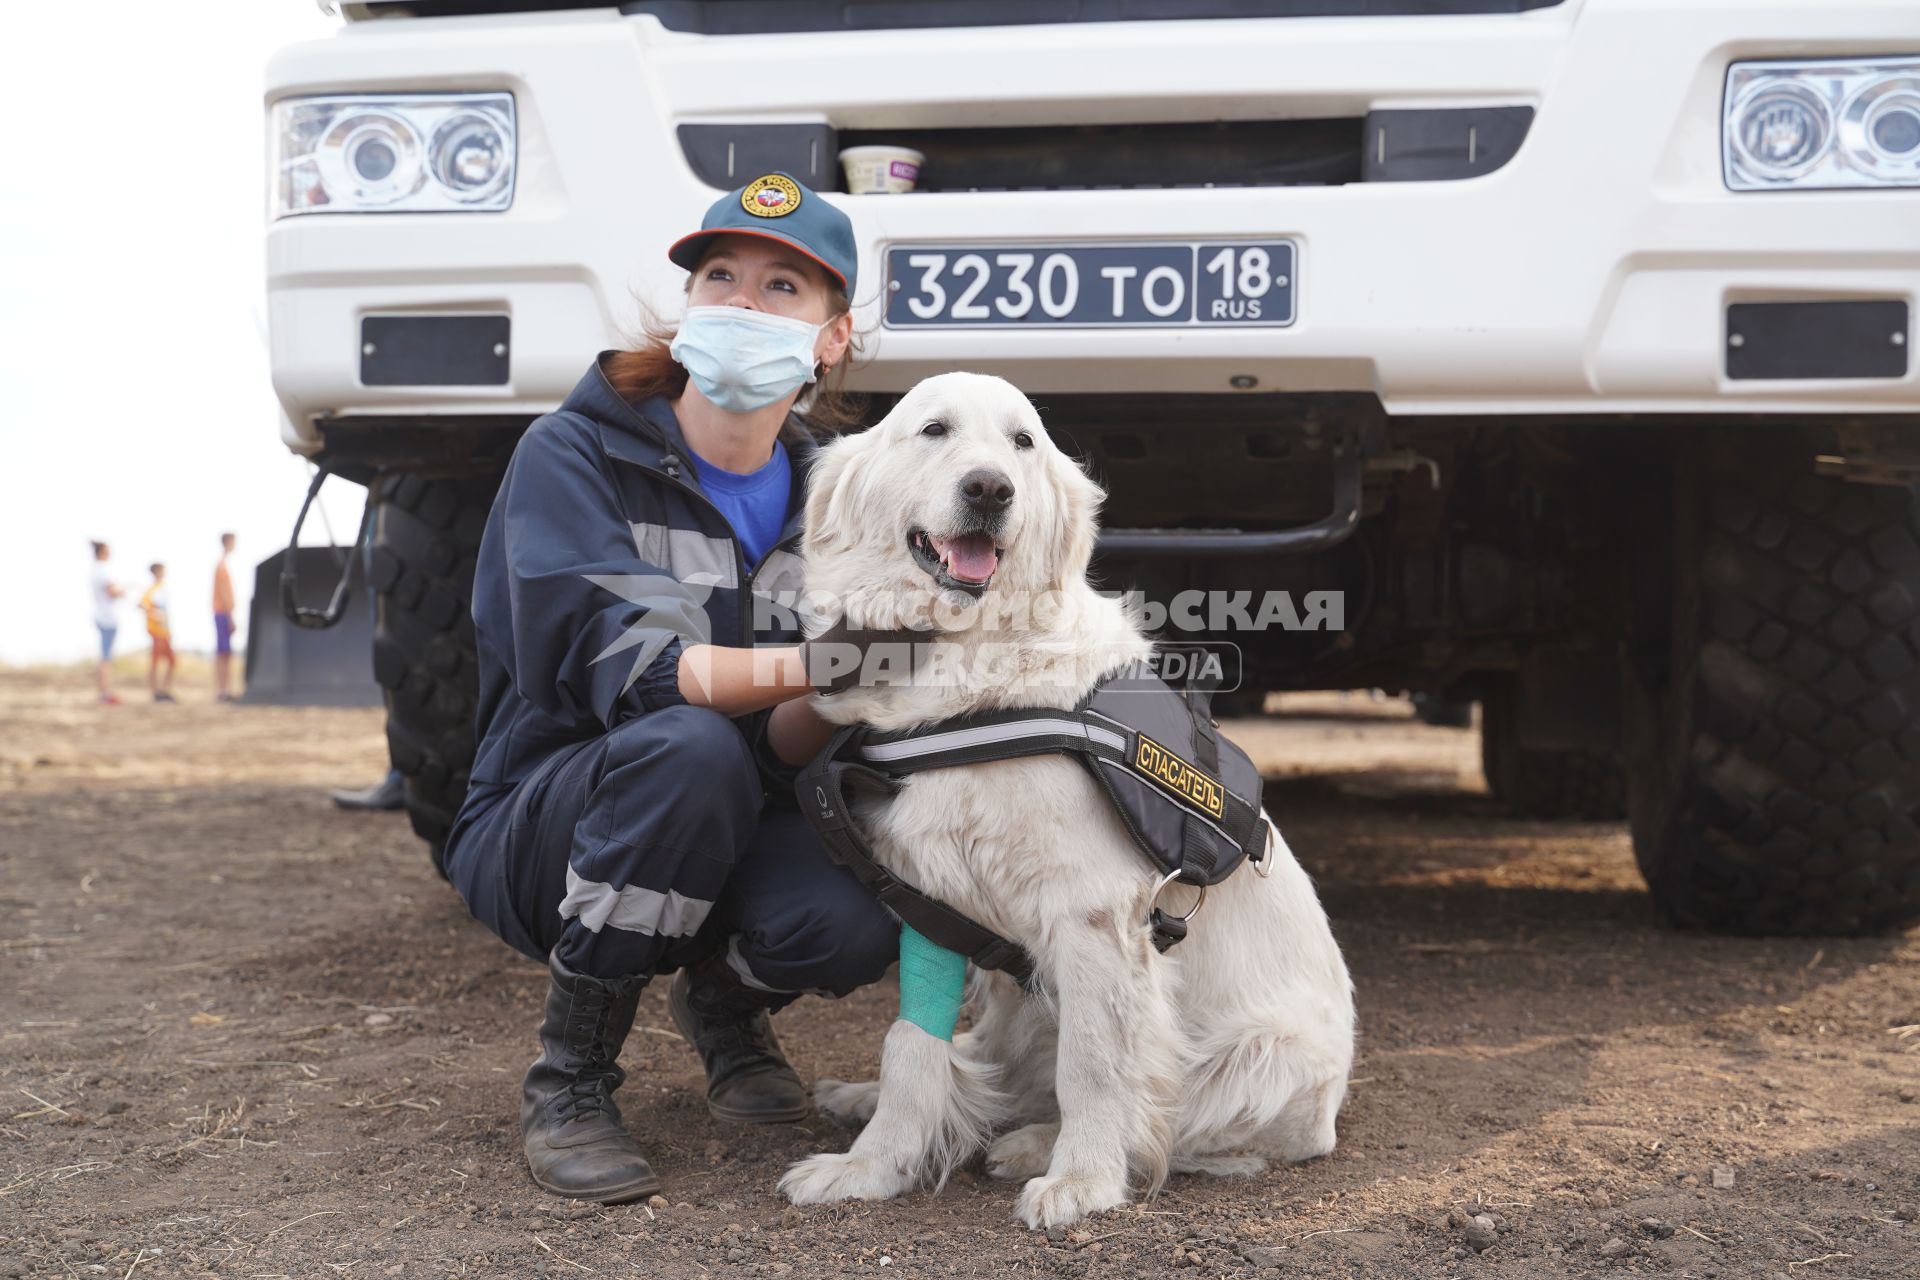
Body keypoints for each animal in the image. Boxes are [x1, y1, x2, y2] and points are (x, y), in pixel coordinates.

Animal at [775, 372, 1351, 1228]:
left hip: (1254, 1059)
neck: (974, 673)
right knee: (988, 1060)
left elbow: (1095, 1067)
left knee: (1177, 1119)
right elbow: (911, 1044)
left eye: (1023, 442)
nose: (990, 489)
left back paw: (1035, 1148)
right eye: (934, 430)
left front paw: (1083, 1181)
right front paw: (872, 1167)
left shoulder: (1092, 917)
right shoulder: (930, 901)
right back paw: (870, 1098)